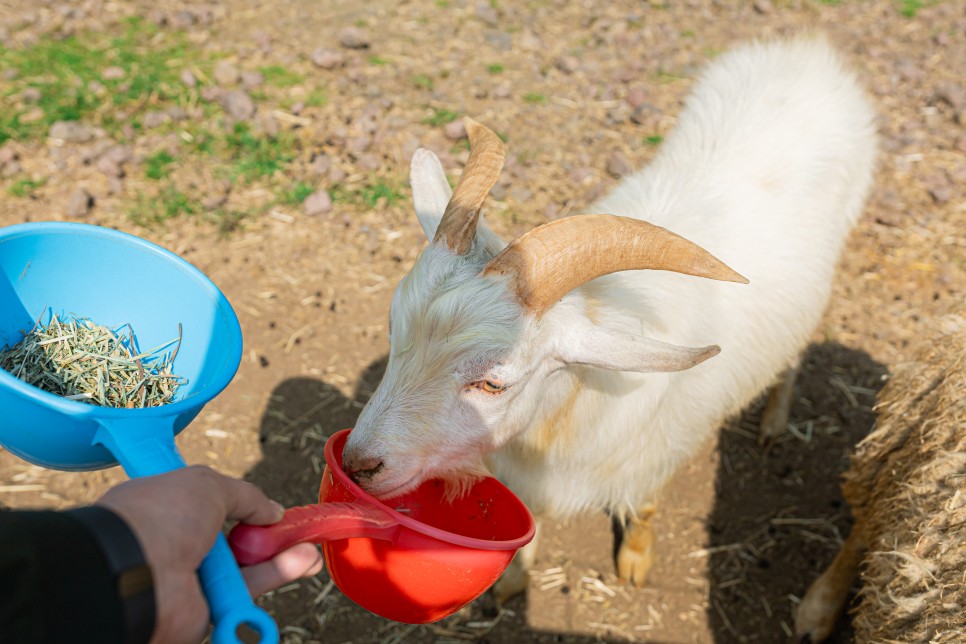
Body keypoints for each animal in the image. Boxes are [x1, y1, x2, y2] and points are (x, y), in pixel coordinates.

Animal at [344, 35, 880, 600]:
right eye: (393, 331)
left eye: (493, 382)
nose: (358, 465)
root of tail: (805, 52)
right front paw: (514, 576)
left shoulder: (656, 453)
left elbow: (643, 508)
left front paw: (635, 562)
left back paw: (776, 418)